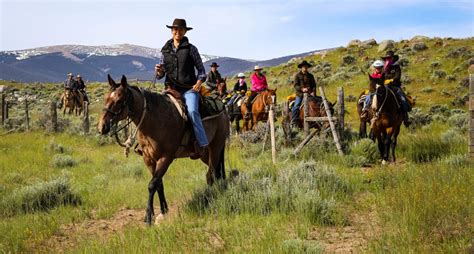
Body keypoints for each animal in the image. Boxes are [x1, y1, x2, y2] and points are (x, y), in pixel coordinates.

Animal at [97, 75, 230, 224]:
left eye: (119, 100)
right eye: (106, 98)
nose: (102, 127)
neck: (155, 119)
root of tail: (223, 109)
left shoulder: (166, 158)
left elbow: (152, 184)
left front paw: (148, 216)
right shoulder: (148, 158)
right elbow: (158, 184)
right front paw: (163, 210)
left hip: (215, 147)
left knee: (210, 175)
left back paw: (209, 197)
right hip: (204, 154)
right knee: (216, 172)